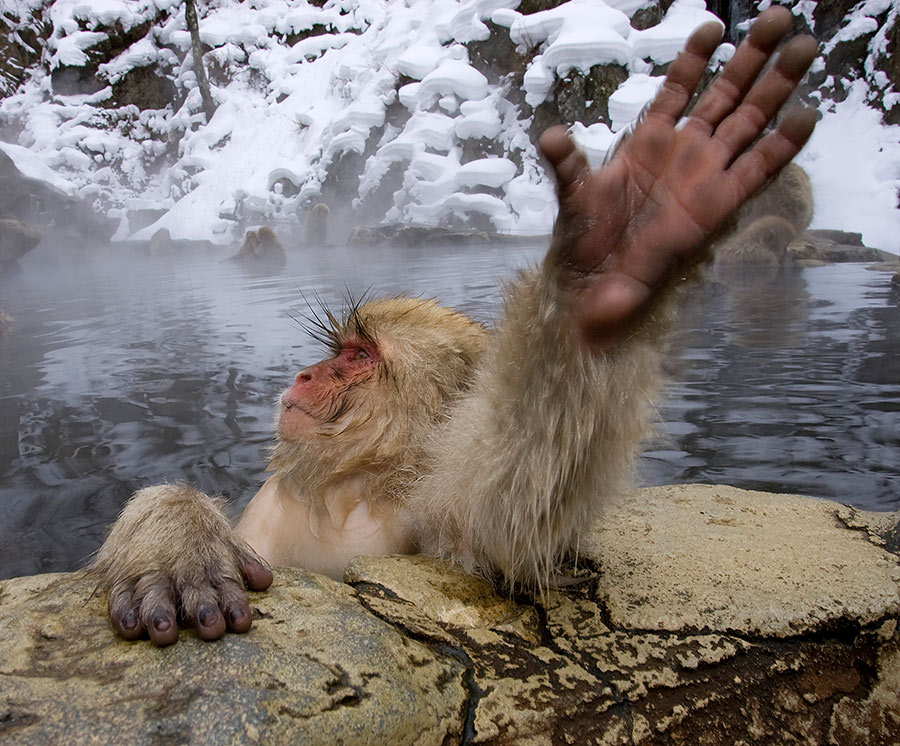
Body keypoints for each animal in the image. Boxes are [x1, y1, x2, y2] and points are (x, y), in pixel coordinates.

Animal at [93, 8, 824, 644]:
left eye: (358, 358)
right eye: (338, 351)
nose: (304, 375)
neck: (351, 487)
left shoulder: (438, 518)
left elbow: (509, 509)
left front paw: (610, 281)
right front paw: (177, 546)